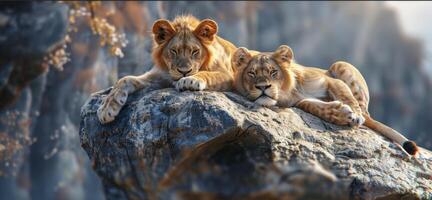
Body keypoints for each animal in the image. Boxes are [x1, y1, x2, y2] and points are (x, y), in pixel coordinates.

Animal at [97, 15, 236, 123]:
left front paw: (190, 80)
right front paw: (106, 108)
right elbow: (125, 79)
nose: (184, 72)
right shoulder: (159, 76)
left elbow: (207, 74)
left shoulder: (228, 76)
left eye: (195, 51)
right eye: (173, 51)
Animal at [233, 45, 418, 156]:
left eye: (273, 72)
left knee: (367, 114)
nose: (263, 87)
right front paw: (342, 114)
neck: (290, 93)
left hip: (339, 64)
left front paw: (354, 115)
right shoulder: (300, 101)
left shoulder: (328, 80)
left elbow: (347, 97)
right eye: (252, 73)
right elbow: (313, 106)